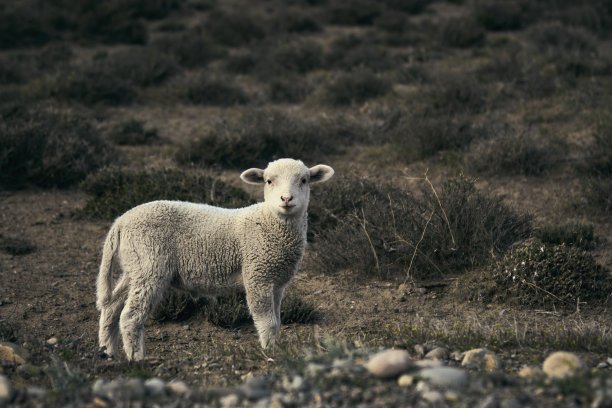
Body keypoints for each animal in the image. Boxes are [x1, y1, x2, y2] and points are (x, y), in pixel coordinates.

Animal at [96, 159, 334, 360]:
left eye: (304, 180)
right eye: (268, 181)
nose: (286, 199)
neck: (268, 222)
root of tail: (121, 221)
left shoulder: (276, 282)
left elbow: (277, 320)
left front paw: (276, 347)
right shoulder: (258, 275)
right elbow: (267, 321)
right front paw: (270, 352)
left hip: (135, 265)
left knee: (112, 306)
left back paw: (107, 351)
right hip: (150, 264)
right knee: (130, 316)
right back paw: (136, 358)